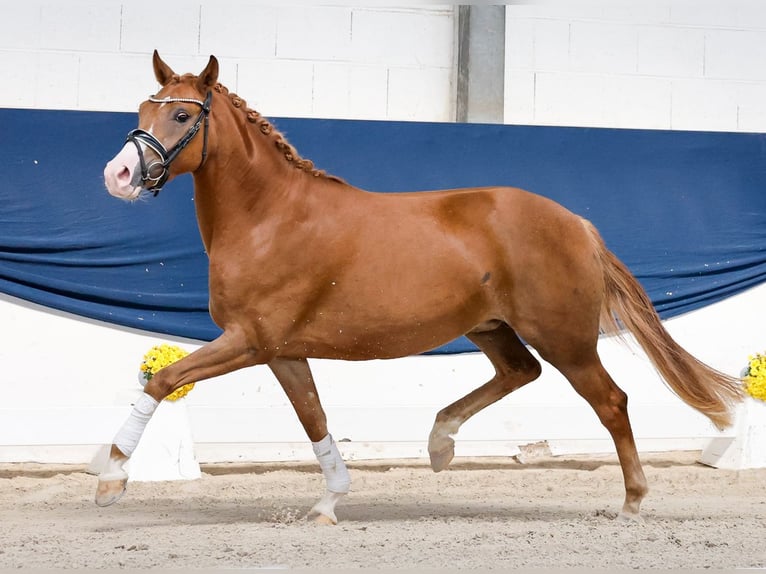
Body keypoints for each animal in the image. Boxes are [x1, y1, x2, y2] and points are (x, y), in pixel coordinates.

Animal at [100, 51, 742, 525]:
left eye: (182, 117)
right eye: (144, 107)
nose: (119, 174)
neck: (270, 217)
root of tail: (577, 224)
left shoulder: (248, 342)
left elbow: (161, 381)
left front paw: (110, 479)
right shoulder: (282, 352)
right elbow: (315, 420)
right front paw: (328, 503)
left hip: (566, 339)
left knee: (610, 402)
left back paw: (632, 502)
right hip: (491, 327)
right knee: (520, 372)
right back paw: (441, 443)